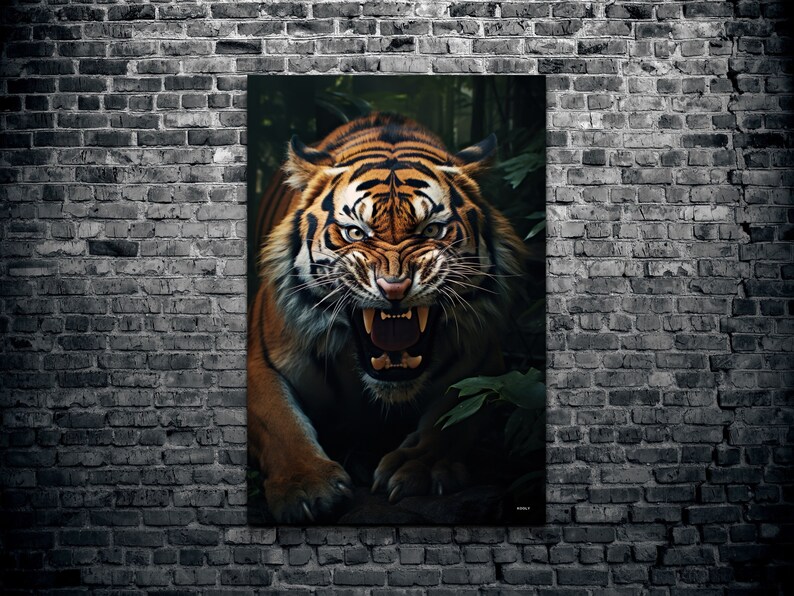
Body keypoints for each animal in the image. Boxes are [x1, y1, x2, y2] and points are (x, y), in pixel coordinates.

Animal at [248, 113, 526, 523]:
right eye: (354, 232)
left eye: (431, 229)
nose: (394, 288)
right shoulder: (260, 361)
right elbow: (281, 422)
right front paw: (306, 485)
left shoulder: (486, 366)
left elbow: (452, 419)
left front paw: (419, 467)